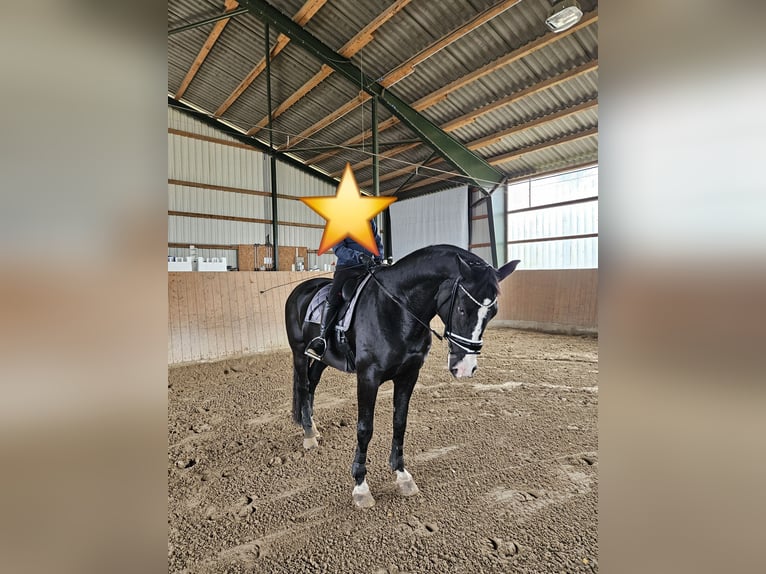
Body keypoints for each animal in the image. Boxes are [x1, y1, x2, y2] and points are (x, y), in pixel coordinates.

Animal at [284, 244, 520, 508]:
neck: (398, 308)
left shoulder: (409, 375)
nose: (465, 368)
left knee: (311, 384)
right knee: (303, 386)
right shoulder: (368, 377)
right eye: (461, 309)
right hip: (299, 353)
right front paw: (361, 486)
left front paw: (402, 475)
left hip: (322, 358)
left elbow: (400, 422)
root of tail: (301, 289)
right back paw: (308, 436)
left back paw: (313, 428)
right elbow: (365, 428)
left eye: (493, 313)